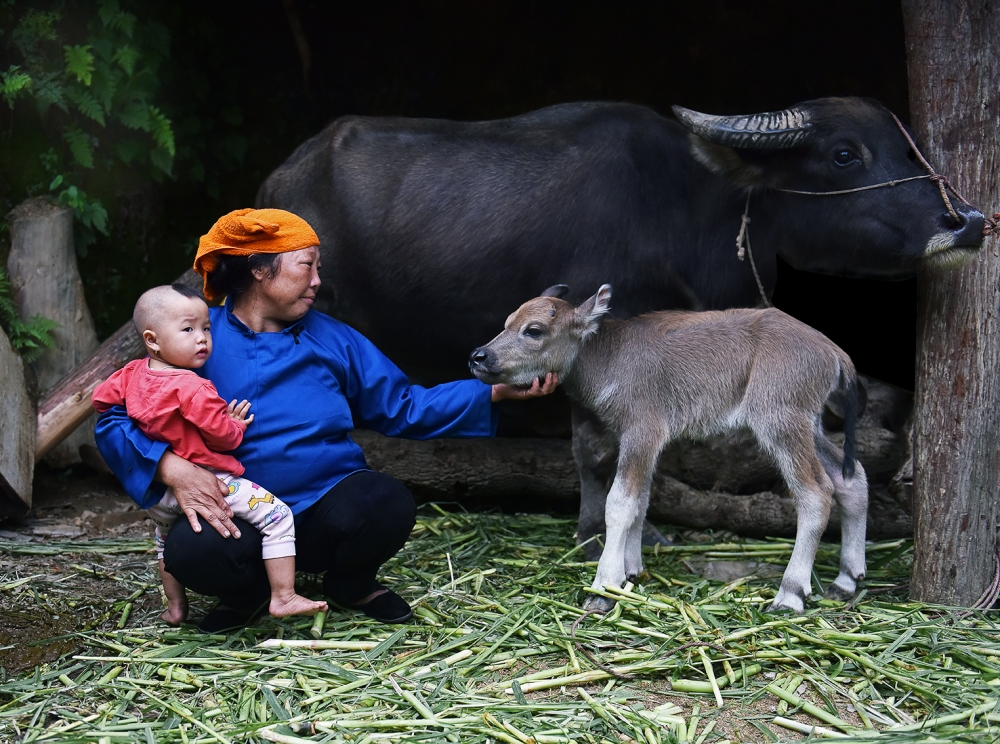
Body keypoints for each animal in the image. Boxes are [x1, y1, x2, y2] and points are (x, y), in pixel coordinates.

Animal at [258, 96, 984, 548]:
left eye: (907, 148)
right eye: (843, 154)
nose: (967, 220)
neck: (685, 205)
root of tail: (279, 179)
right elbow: (593, 446)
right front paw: (602, 531)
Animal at [468, 282, 868, 612]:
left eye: (534, 330)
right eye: (507, 322)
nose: (479, 357)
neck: (610, 355)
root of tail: (834, 352)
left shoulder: (642, 433)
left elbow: (620, 503)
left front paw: (604, 587)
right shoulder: (643, 443)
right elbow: (641, 500)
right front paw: (631, 571)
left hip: (781, 422)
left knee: (815, 492)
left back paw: (790, 594)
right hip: (810, 426)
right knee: (851, 478)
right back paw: (846, 581)